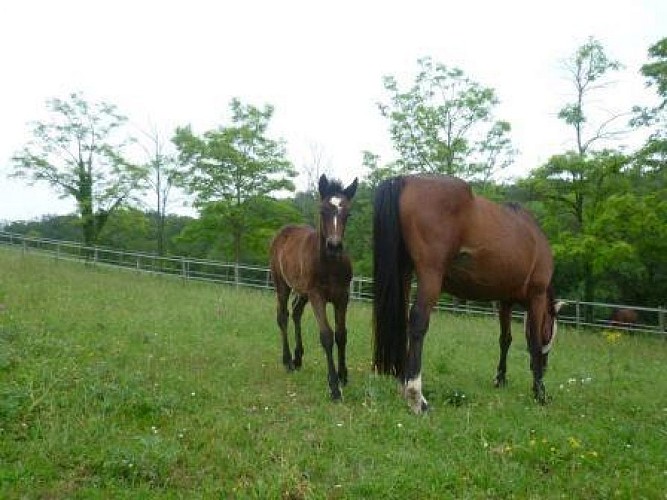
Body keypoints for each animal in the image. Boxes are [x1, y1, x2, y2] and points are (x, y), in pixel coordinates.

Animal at [269, 174, 358, 400]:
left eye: (348, 213)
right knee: (283, 316)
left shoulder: (342, 296)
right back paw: (288, 361)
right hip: (282, 284)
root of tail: (283, 231)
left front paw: (344, 376)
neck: (330, 264)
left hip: (303, 292)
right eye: (322, 211)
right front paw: (334, 387)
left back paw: (298, 357)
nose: (334, 246)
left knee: (296, 312)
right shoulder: (318, 296)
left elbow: (341, 334)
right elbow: (326, 336)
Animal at [372, 174, 564, 414]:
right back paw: (417, 397)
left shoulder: (505, 302)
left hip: (404, 273)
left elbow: (505, 339)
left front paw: (500, 379)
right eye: (550, 332)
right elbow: (534, 342)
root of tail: (406, 180)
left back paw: (403, 384)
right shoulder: (536, 296)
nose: (545, 368)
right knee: (417, 322)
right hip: (430, 275)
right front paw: (540, 393)